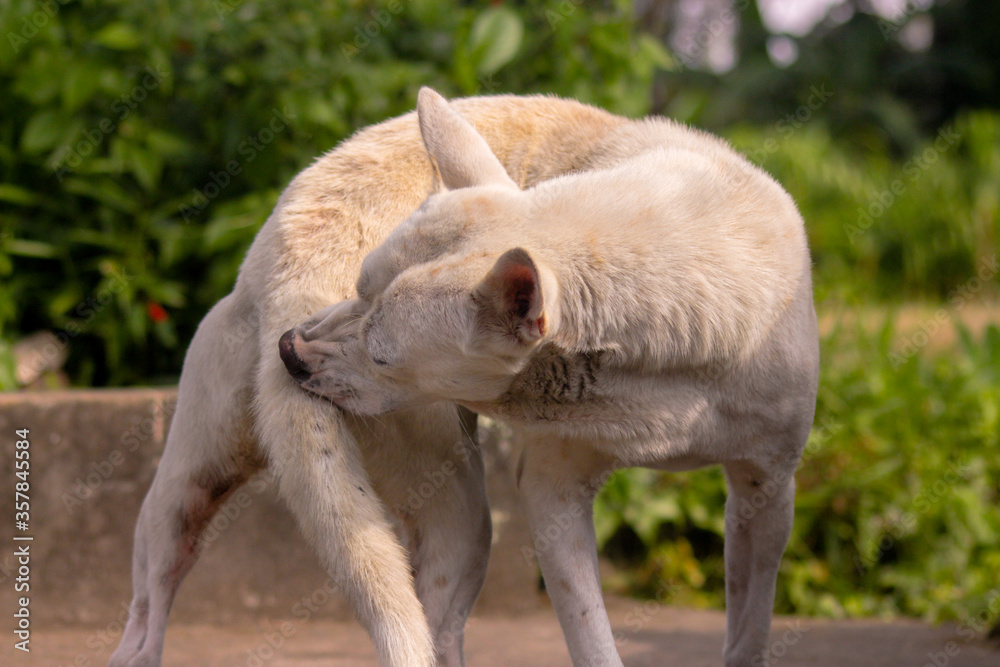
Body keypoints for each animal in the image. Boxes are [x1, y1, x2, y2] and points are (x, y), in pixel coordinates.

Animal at [280, 90, 820, 667]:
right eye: (358, 287)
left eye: (382, 357)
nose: (288, 349)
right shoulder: (553, 489)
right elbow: (590, 635)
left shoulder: (767, 490)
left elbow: (751, 629)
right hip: (463, 516)